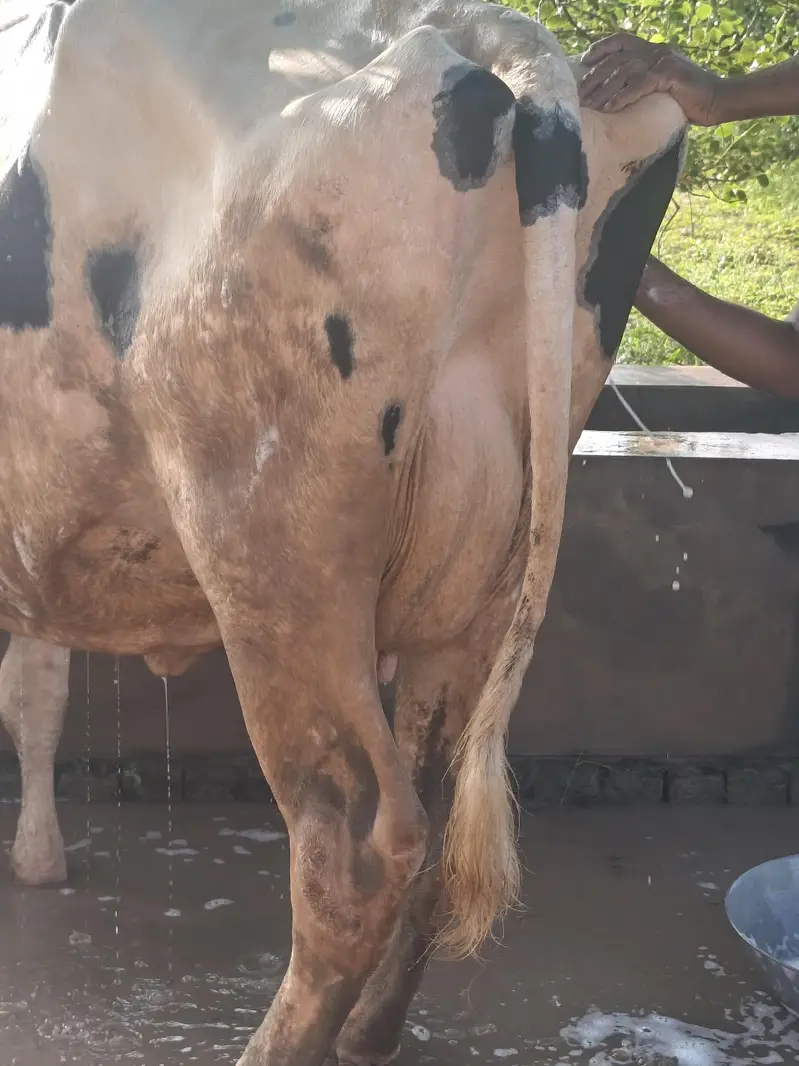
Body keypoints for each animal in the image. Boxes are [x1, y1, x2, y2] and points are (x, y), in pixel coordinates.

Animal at [0, 0, 686, 1062]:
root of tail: (476, 35)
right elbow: (33, 688)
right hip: (479, 571)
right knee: (435, 818)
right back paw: (366, 1034)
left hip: (276, 557)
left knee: (354, 856)